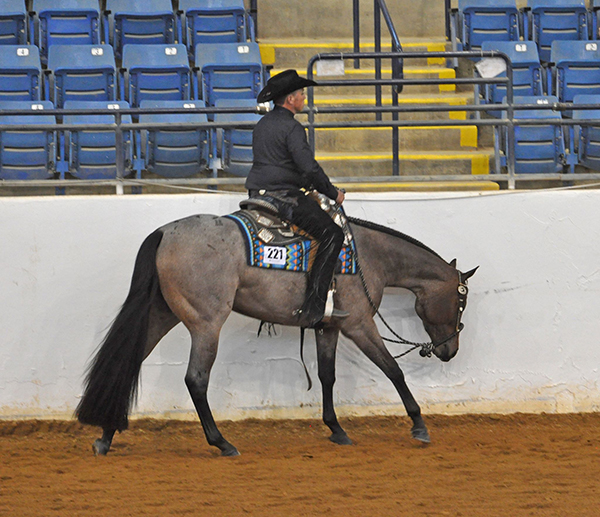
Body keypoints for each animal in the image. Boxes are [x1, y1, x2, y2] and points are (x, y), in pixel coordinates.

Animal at [76, 211, 477, 456]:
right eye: (461, 302)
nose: (449, 351)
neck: (369, 257)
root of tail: (164, 233)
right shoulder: (359, 325)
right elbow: (393, 370)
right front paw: (419, 426)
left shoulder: (328, 326)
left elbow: (327, 376)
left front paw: (336, 429)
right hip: (206, 323)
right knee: (195, 379)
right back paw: (222, 443)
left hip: (163, 314)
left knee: (126, 364)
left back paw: (105, 436)